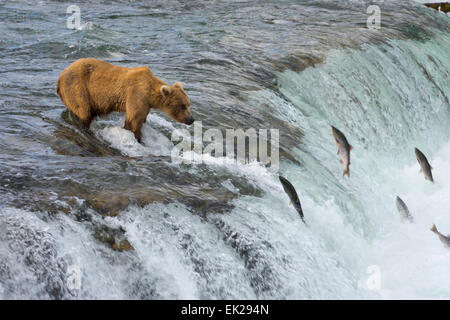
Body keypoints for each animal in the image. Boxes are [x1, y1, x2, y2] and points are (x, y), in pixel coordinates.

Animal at [55, 57, 193, 142]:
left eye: (188, 104)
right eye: (183, 105)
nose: (191, 119)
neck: (150, 95)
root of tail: (60, 76)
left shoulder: (146, 104)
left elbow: (141, 119)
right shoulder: (136, 95)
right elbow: (133, 122)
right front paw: (137, 139)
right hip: (78, 88)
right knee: (83, 111)